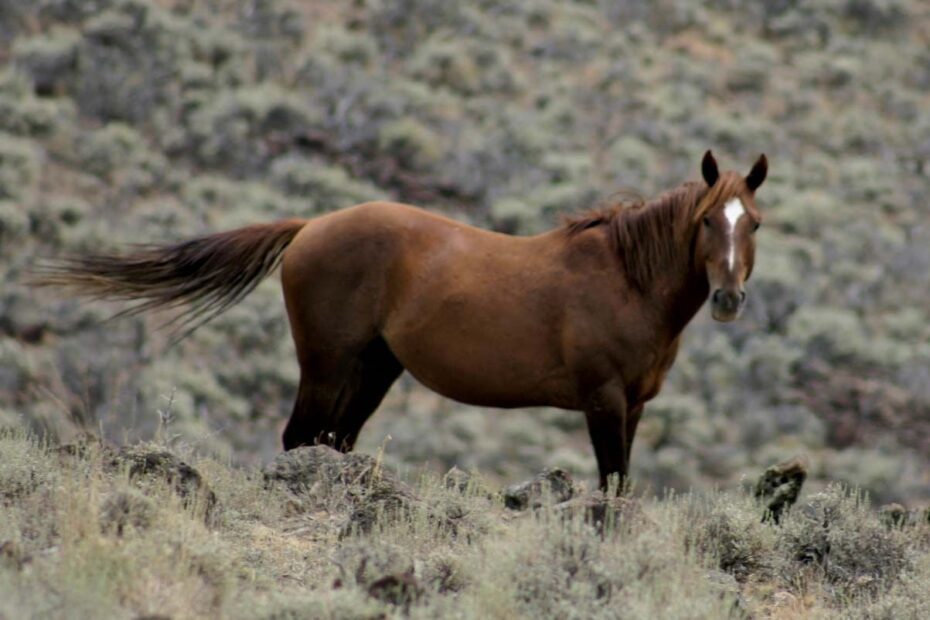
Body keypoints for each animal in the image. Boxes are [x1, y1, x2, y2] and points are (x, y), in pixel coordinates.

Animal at [34, 150, 767, 490]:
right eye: (708, 220)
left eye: (754, 222)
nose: (729, 300)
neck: (623, 277)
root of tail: (311, 226)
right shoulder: (604, 402)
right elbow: (611, 485)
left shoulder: (633, 406)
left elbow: (622, 486)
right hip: (326, 365)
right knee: (300, 440)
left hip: (373, 370)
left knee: (331, 441)